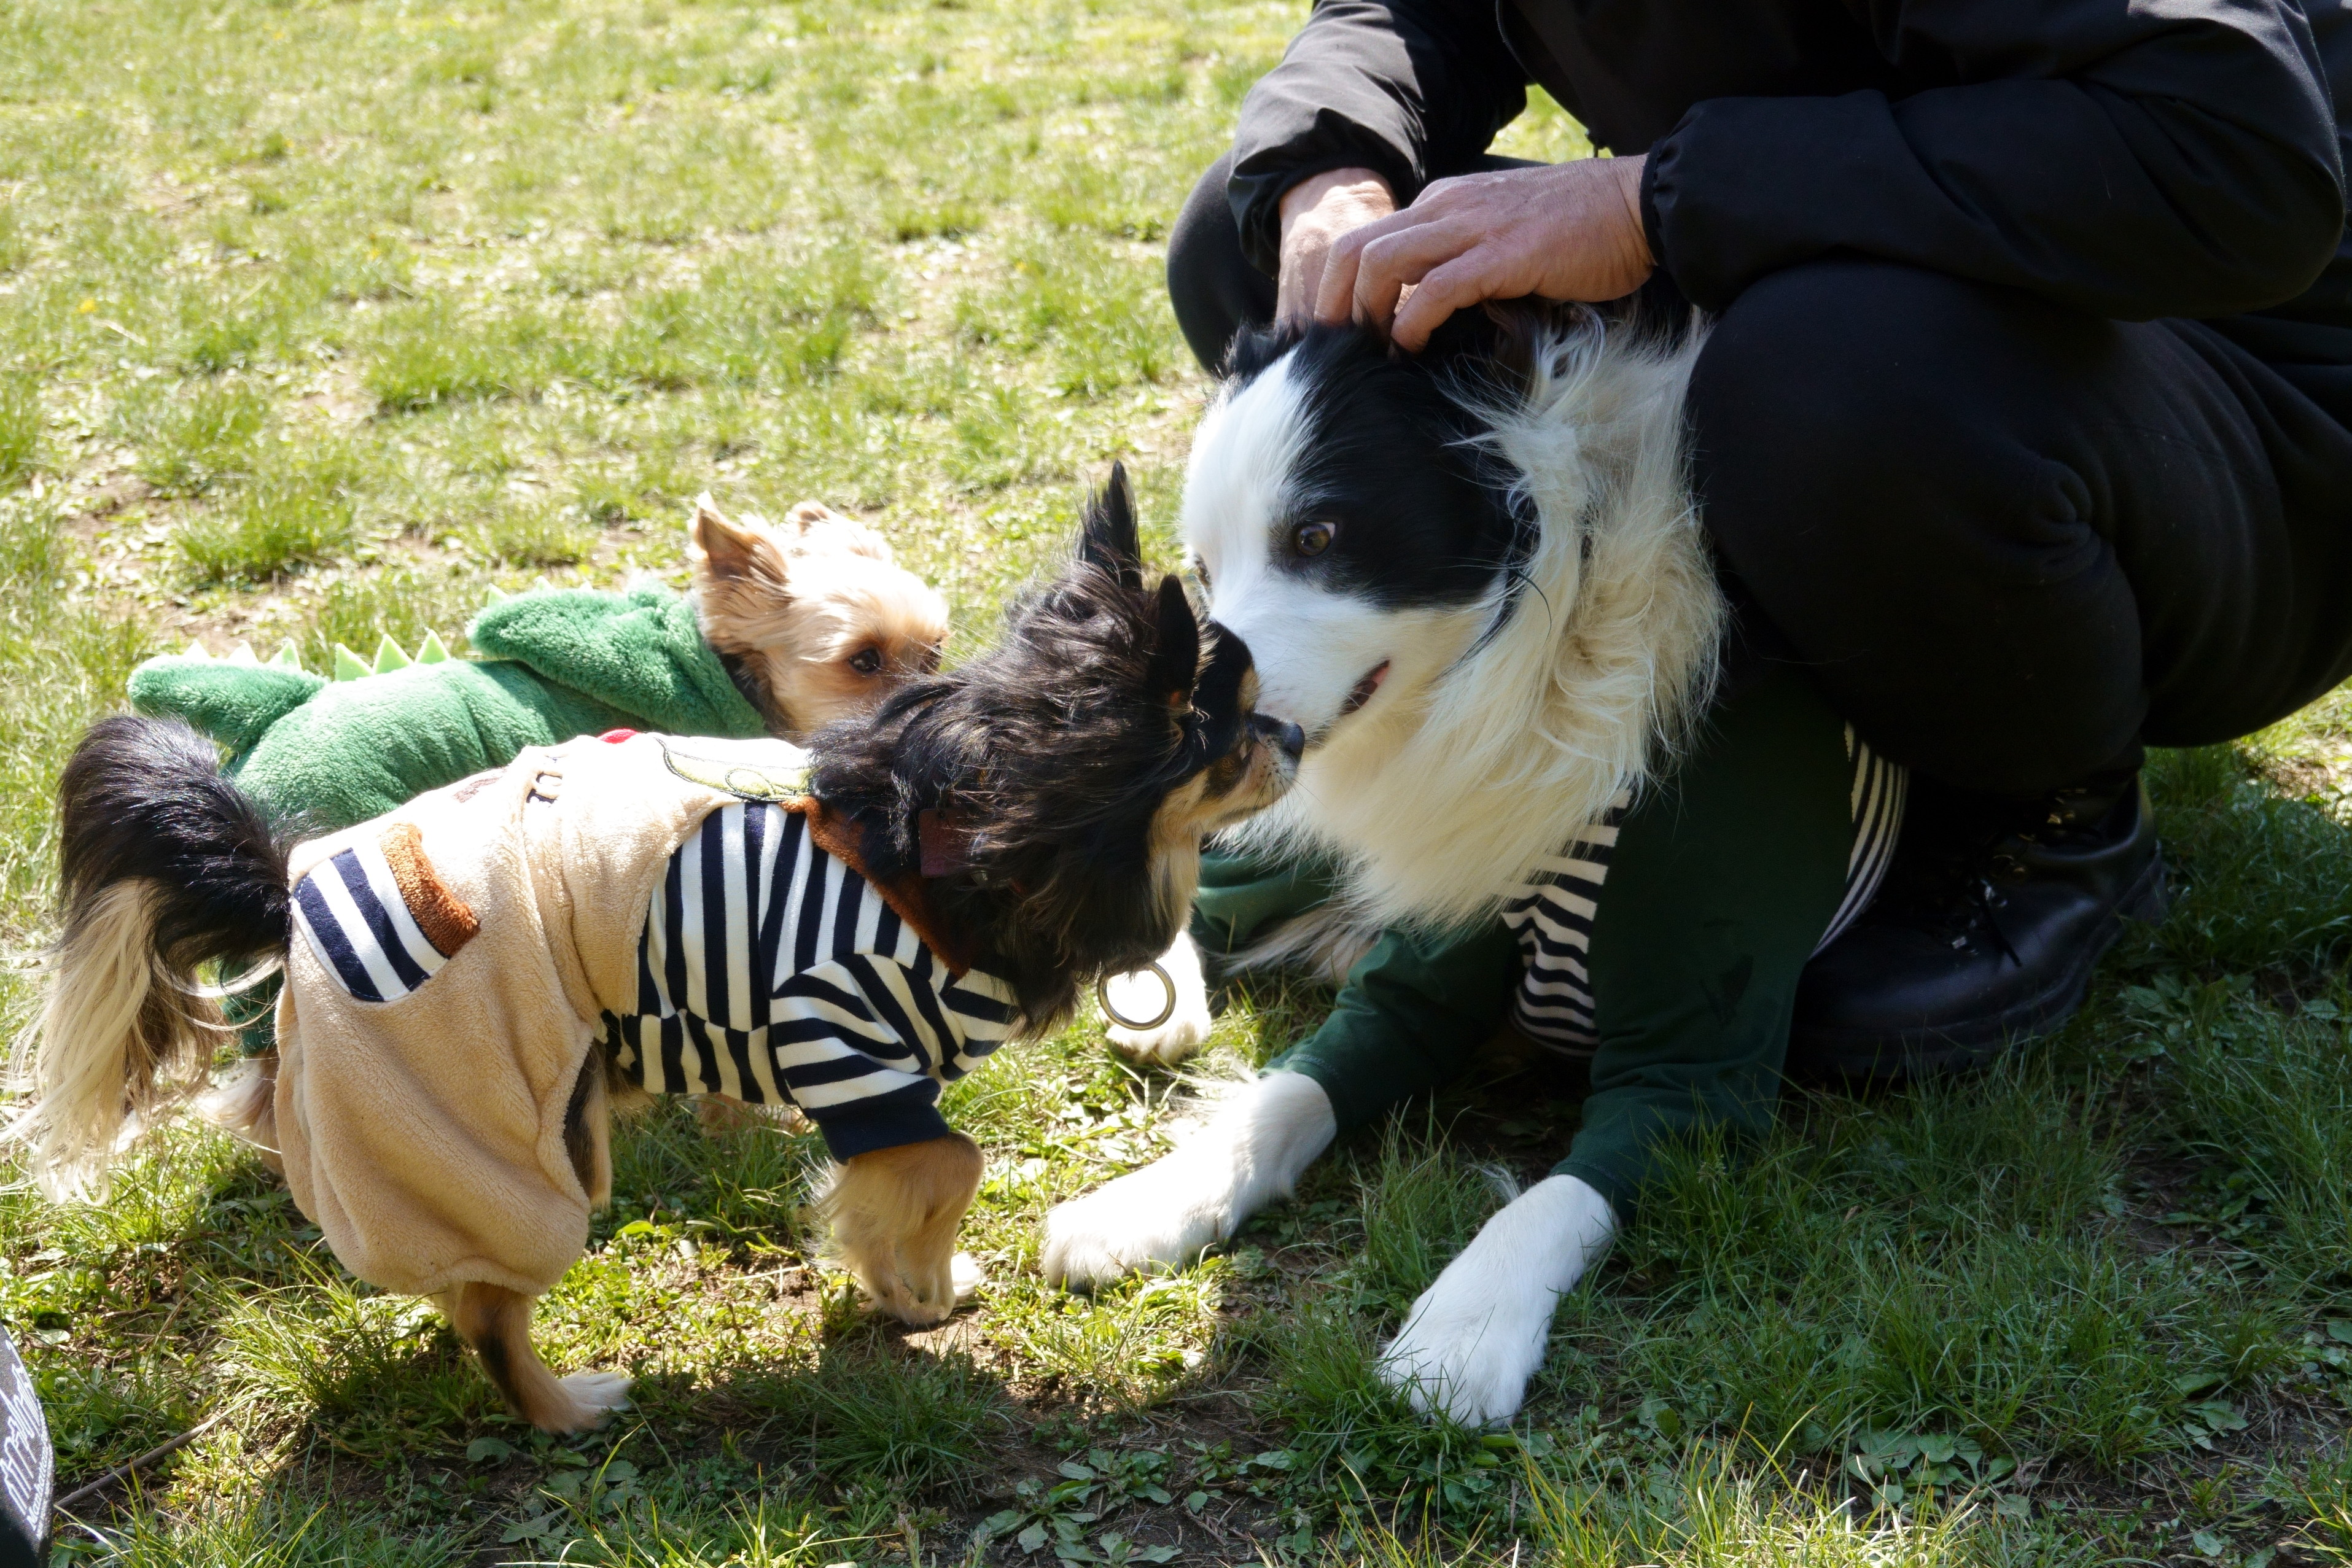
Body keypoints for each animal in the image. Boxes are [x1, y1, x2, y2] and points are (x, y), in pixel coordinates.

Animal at [1058, 303, 1721, 1419]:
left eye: (1315, 537)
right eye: (1204, 568)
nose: (1185, 713)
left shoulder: (1694, 1066)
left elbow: (1556, 1193)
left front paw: (1463, 1333)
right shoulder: (1423, 957)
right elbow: (1291, 1089)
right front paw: (1150, 1197)